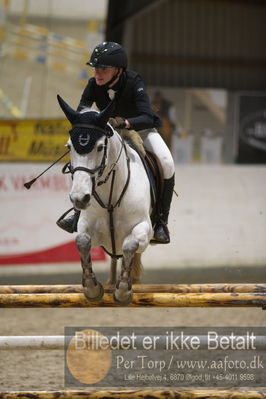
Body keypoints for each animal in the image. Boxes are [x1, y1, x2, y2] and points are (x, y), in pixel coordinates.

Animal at [58, 95, 154, 304]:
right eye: (69, 146)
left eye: (100, 147)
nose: (79, 198)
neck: (111, 196)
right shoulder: (91, 231)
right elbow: (82, 241)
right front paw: (92, 288)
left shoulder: (144, 229)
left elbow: (130, 245)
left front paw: (123, 290)